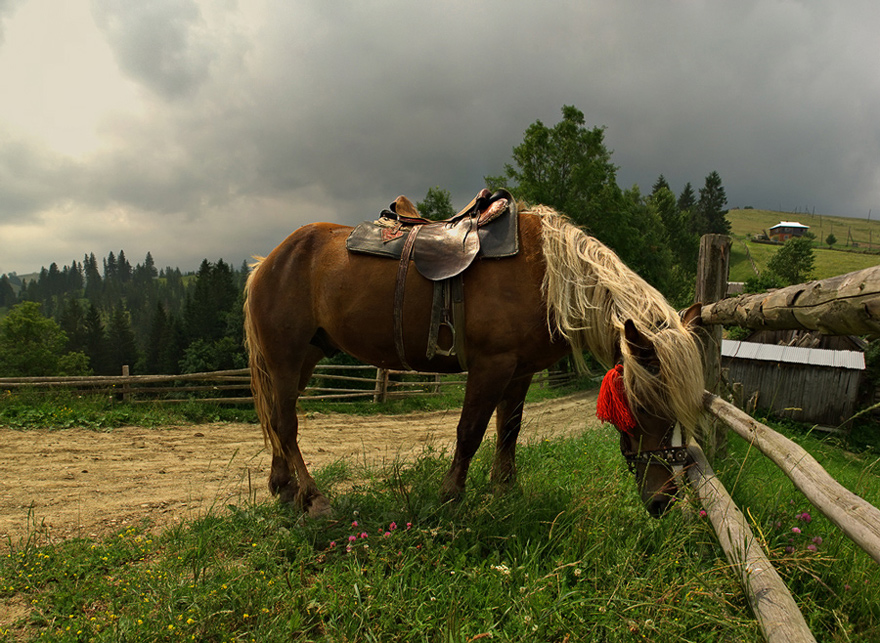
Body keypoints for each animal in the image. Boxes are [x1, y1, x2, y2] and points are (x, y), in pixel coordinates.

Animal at [242, 205, 708, 520]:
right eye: (643, 407)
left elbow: (508, 429)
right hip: (285, 358)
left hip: (304, 359)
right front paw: (451, 495)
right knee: (285, 424)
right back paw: (314, 498)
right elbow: (470, 430)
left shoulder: (520, 370)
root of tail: (267, 262)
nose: (663, 501)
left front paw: (504, 489)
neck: (546, 275)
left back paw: (284, 488)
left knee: (278, 421)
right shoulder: (491, 365)